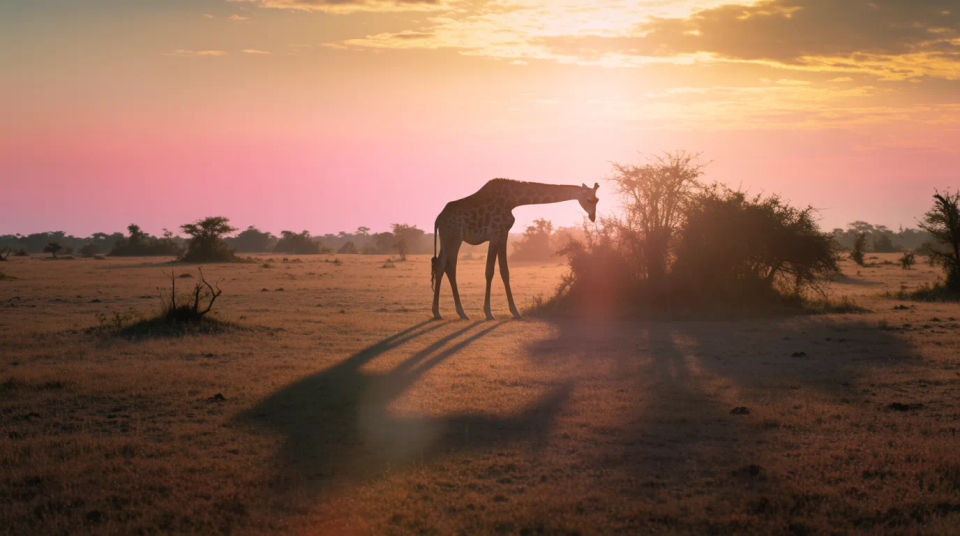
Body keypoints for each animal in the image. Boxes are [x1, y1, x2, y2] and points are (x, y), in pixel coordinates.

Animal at [431, 178, 600, 320]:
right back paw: (460, 311)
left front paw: (514, 311)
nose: (593, 217)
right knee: (450, 267)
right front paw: (489, 312)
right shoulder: (496, 234)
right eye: (589, 199)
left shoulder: (503, 234)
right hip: (454, 238)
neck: (513, 200)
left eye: (597, 200)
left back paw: (437, 312)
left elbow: (504, 271)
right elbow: (489, 271)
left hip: (446, 239)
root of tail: (438, 219)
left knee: (440, 265)